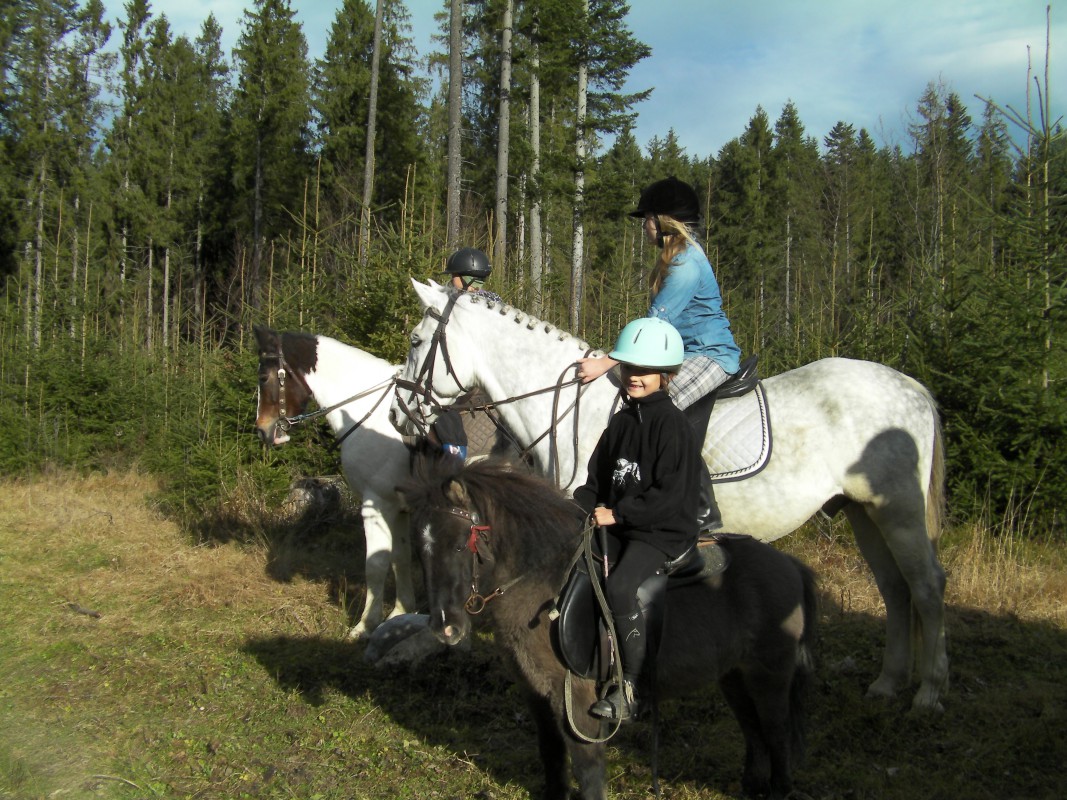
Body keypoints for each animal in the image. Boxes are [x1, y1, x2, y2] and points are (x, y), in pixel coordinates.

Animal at [253, 324, 416, 640]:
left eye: (263, 377)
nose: (263, 431)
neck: (370, 411)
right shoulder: (400, 508)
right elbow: (400, 559)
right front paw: (401, 615)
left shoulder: (376, 504)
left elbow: (376, 564)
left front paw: (364, 626)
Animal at [389, 280, 949, 711]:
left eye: (416, 341)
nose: (398, 412)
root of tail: (914, 388)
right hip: (864, 513)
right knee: (895, 590)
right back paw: (888, 683)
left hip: (899, 513)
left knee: (925, 587)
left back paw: (928, 693)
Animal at [401, 457, 817, 800]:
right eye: (420, 551)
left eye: (459, 545)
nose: (445, 628)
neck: (542, 582)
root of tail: (791, 567)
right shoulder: (536, 695)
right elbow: (551, 758)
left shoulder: (576, 701)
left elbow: (587, 771)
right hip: (734, 677)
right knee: (755, 733)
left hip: (769, 678)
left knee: (776, 735)